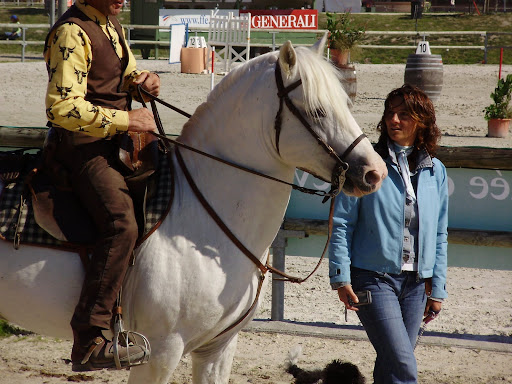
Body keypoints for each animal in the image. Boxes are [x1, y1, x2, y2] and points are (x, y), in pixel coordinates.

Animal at [0, 37, 384, 382]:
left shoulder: (218, 349)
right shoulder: (159, 352)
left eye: (345, 103)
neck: (203, 217)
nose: (374, 172)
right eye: (317, 110)